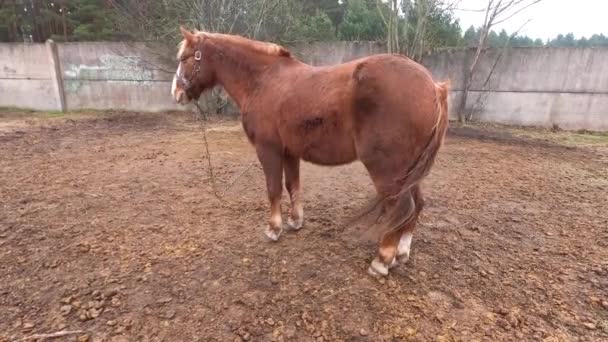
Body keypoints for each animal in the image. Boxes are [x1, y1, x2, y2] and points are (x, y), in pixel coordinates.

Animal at [171, 27, 452, 278]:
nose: (177, 93)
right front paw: (295, 221)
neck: (263, 80)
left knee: (401, 206)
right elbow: (292, 185)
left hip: (389, 170)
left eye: (185, 58)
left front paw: (274, 229)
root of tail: (434, 87)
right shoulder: (289, 152)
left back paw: (382, 261)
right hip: (409, 171)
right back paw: (401, 254)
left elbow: (273, 189)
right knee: (416, 205)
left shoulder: (268, 150)